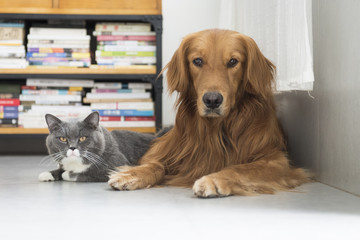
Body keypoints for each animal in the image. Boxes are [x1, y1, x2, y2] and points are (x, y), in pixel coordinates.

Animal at [108, 29, 310, 197]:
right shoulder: (168, 151)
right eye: (197, 61)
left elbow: (242, 168)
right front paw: (130, 174)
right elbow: (154, 164)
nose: (212, 100)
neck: (215, 130)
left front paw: (214, 179)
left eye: (233, 61)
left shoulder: (277, 160)